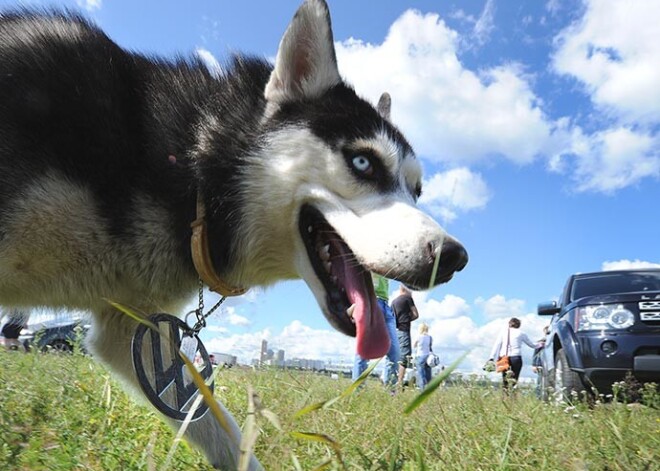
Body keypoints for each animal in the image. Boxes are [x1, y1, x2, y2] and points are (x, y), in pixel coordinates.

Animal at [0, 0, 464, 468]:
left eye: (416, 191)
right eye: (363, 163)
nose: (454, 257)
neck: (193, 170)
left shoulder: (130, 330)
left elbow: (221, 430)